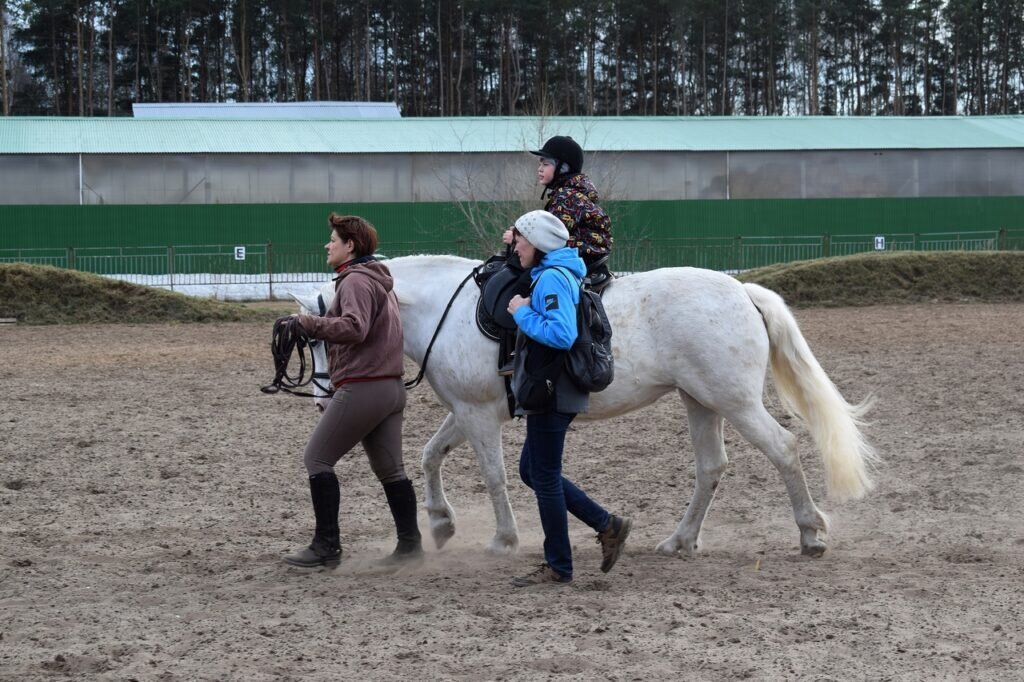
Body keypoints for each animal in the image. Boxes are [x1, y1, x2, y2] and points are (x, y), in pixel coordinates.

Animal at [292, 254, 876, 557]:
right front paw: (440, 524)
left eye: (329, 334)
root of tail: (742, 292)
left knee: (784, 448)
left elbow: (493, 476)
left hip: (733, 401)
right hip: (701, 401)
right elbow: (430, 456)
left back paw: (810, 533)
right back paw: (680, 540)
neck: (445, 309)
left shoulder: (478, 415)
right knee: (712, 467)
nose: (323, 401)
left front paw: (503, 539)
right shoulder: (467, 410)